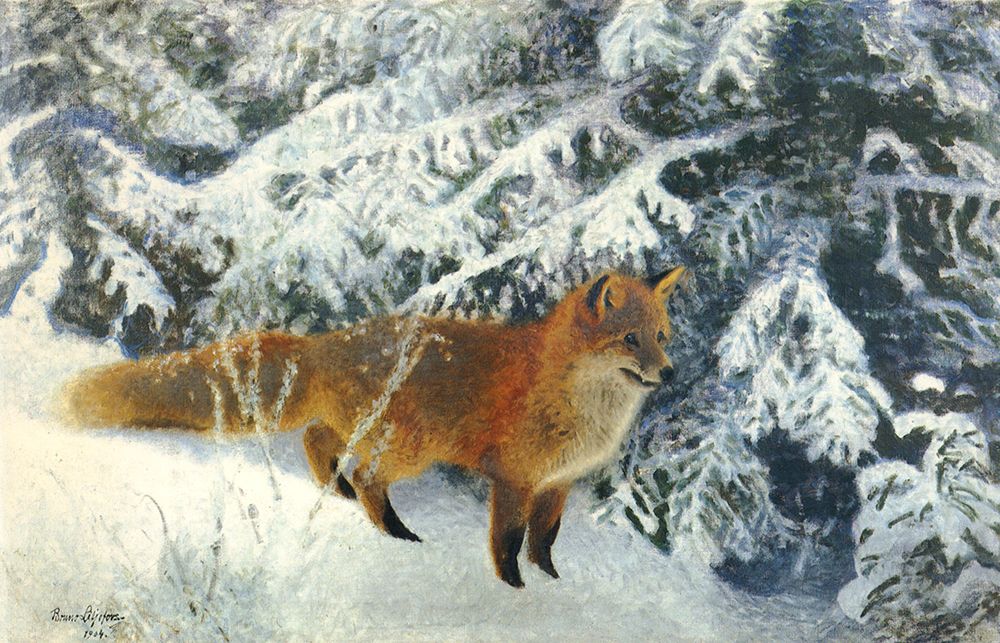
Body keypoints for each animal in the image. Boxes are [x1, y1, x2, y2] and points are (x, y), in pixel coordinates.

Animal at [61, 267, 686, 587]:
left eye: (662, 336)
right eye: (630, 339)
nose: (671, 372)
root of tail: (327, 342)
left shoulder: (557, 484)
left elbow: (545, 541)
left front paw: (554, 583)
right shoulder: (514, 478)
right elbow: (508, 543)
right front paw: (515, 591)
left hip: (370, 432)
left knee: (316, 440)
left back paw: (334, 492)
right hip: (410, 448)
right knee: (365, 476)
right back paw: (395, 534)